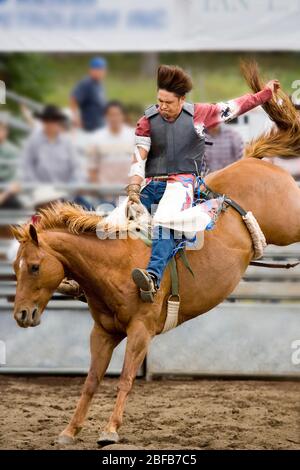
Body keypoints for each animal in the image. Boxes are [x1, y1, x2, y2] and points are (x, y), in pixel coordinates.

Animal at [10, 63, 300, 444]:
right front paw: (70, 430)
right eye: (15, 269)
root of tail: (254, 160)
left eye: (33, 266)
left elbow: (126, 379)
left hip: (291, 219)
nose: (21, 315)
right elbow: (90, 382)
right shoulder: (102, 333)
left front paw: (110, 431)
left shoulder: (141, 331)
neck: (112, 266)